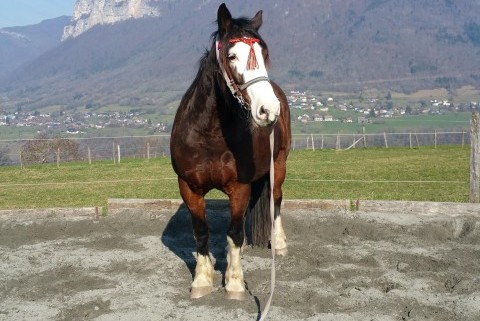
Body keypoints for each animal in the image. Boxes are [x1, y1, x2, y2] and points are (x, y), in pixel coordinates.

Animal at [171, 2, 290, 298]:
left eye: (264, 54)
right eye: (232, 55)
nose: (268, 109)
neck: (209, 135)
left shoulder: (239, 186)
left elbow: (234, 231)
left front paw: (234, 282)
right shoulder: (188, 187)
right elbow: (201, 232)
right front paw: (202, 280)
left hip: (279, 166)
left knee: (276, 201)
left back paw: (279, 243)